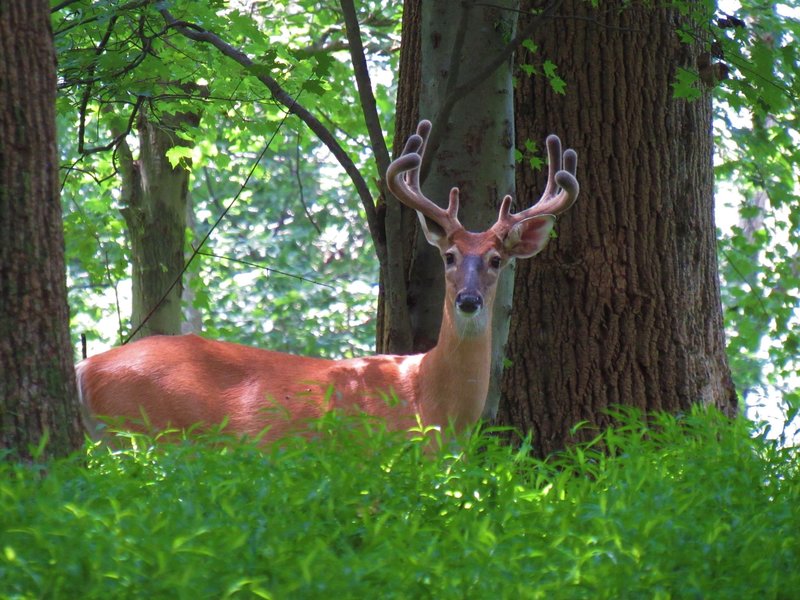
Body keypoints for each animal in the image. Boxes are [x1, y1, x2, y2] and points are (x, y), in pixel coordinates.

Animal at [78, 120, 580, 440]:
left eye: (496, 260)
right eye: (450, 256)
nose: (469, 300)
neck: (431, 402)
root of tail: (87, 369)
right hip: (147, 433)